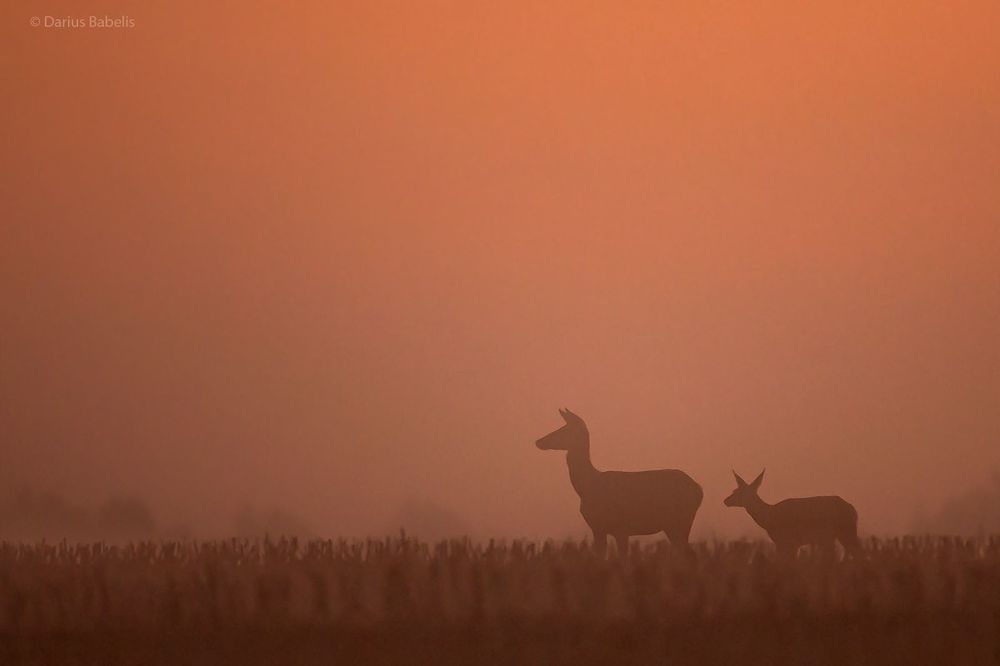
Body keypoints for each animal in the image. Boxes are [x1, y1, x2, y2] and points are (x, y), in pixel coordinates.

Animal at [535, 408, 703, 557]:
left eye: (564, 429)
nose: (538, 441)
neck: (587, 487)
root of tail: (699, 490)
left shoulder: (621, 528)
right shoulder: (598, 528)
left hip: (679, 521)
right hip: (677, 524)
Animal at [724, 469, 862, 559]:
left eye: (739, 492)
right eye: (734, 490)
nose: (726, 500)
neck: (769, 517)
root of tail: (853, 510)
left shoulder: (787, 541)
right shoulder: (787, 543)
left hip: (846, 531)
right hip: (835, 536)